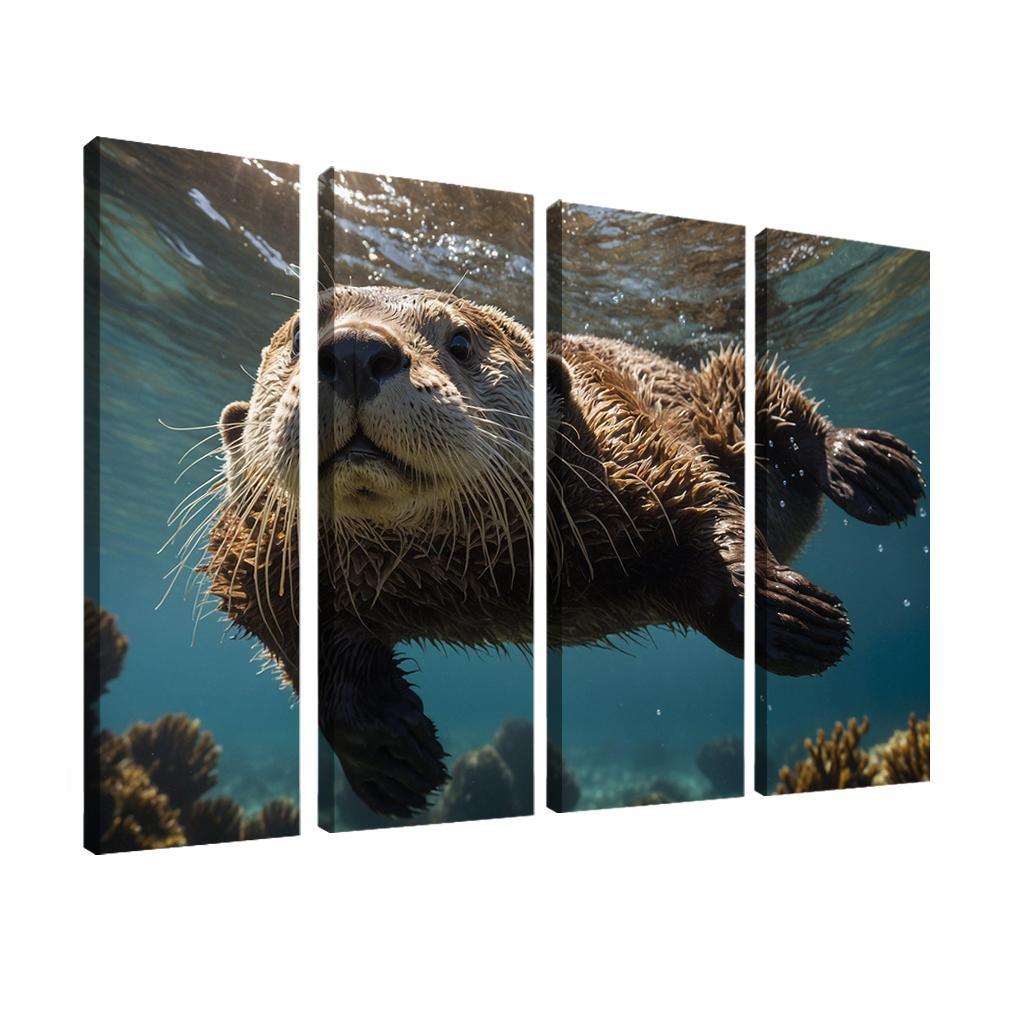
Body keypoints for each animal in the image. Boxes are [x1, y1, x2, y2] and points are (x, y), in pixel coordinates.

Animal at [202, 286, 923, 818]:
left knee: (772, 400)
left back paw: (869, 467)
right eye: (299, 339)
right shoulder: (260, 558)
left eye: (460, 342)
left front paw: (792, 616)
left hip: (720, 390)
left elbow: (708, 512)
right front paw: (388, 756)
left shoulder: (633, 448)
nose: (354, 348)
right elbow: (299, 642)